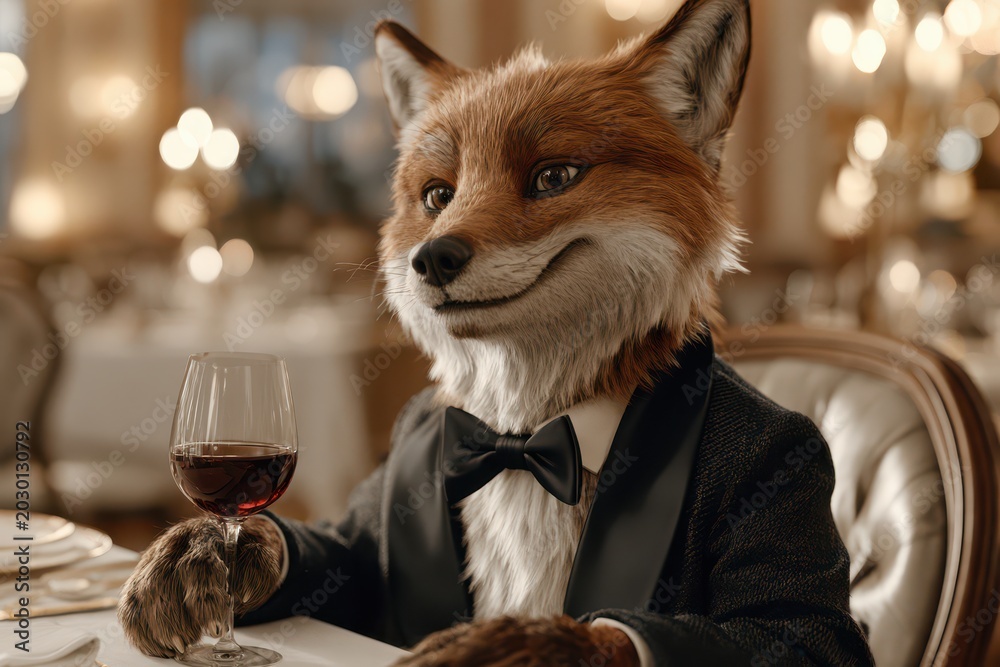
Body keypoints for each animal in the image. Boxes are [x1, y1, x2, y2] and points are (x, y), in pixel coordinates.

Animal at [120, 1, 873, 665]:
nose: (433, 259)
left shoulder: (795, 569)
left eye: (553, 176)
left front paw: (516, 644)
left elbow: (712, 631)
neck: (521, 445)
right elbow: (310, 543)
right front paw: (196, 559)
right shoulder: (365, 530)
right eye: (438, 195)